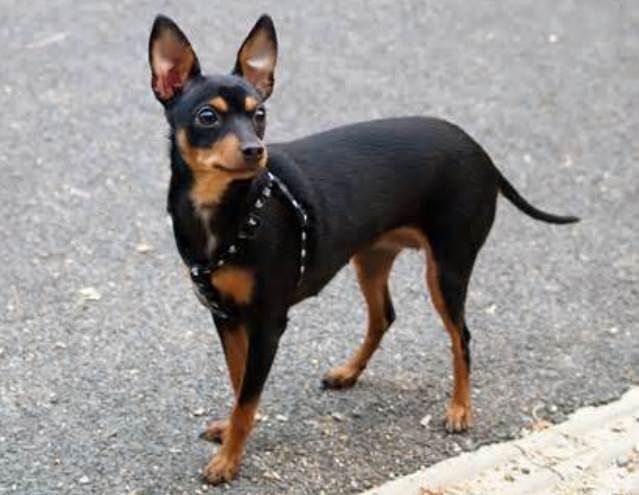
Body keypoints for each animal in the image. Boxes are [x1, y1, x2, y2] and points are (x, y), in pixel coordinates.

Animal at [148, 14, 578, 484]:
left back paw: (460, 409)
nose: (254, 150)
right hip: (370, 259)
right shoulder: (227, 318)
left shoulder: (268, 323)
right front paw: (230, 434)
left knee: (460, 336)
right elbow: (239, 381)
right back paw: (348, 372)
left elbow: (248, 396)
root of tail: (480, 152)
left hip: (448, 268)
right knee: (384, 316)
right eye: (207, 117)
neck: (227, 210)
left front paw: (228, 459)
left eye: (259, 114)